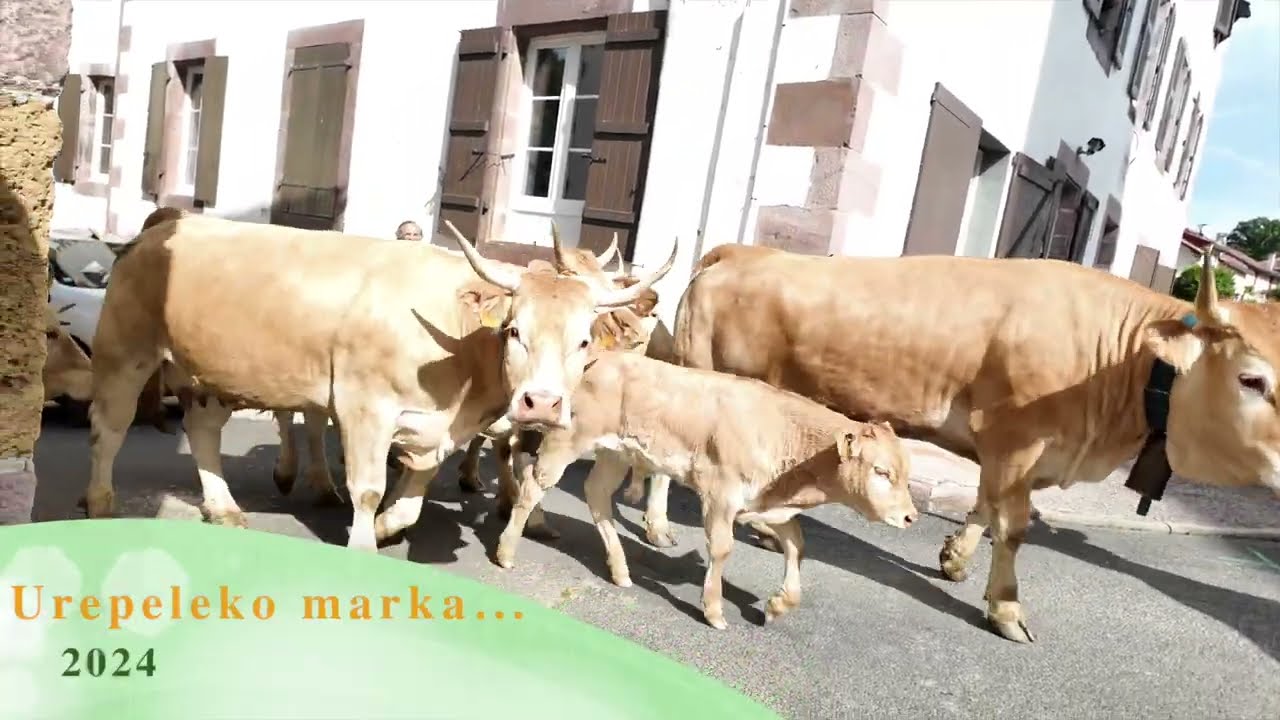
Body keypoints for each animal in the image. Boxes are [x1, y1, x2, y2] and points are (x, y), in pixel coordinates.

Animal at [83, 214, 676, 551]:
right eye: (514, 331)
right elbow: (367, 488)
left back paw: (223, 507)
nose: (542, 404)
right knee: (108, 429)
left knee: (203, 431)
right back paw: (99, 501)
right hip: (125, 353)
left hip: (208, 373)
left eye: (584, 340)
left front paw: (392, 526)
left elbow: (412, 499)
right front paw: (366, 543)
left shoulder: (434, 428)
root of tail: (155, 231)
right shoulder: (363, 407)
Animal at [492, 350, 919, 630]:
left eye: (905, 471)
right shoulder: (720, 495)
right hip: (566, 441)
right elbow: (722, 548)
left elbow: (797, 545)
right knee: (533, 485)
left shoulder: (766, 504)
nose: (911, 516)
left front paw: (778, 605)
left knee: (597, 497)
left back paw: (620, 570)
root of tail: (601, 359)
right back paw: (507, 552)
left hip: (615, 453)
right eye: (881, 471)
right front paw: (713, 610)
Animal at [635, 244, 1280, 644]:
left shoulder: (1007, 452)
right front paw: (1007, 609)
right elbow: (1013, 527)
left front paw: (955, 558)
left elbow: (985, 506)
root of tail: (742, 251)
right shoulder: (1016, 440)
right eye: (1253, 379)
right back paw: (660, 525)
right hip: (699, 369)